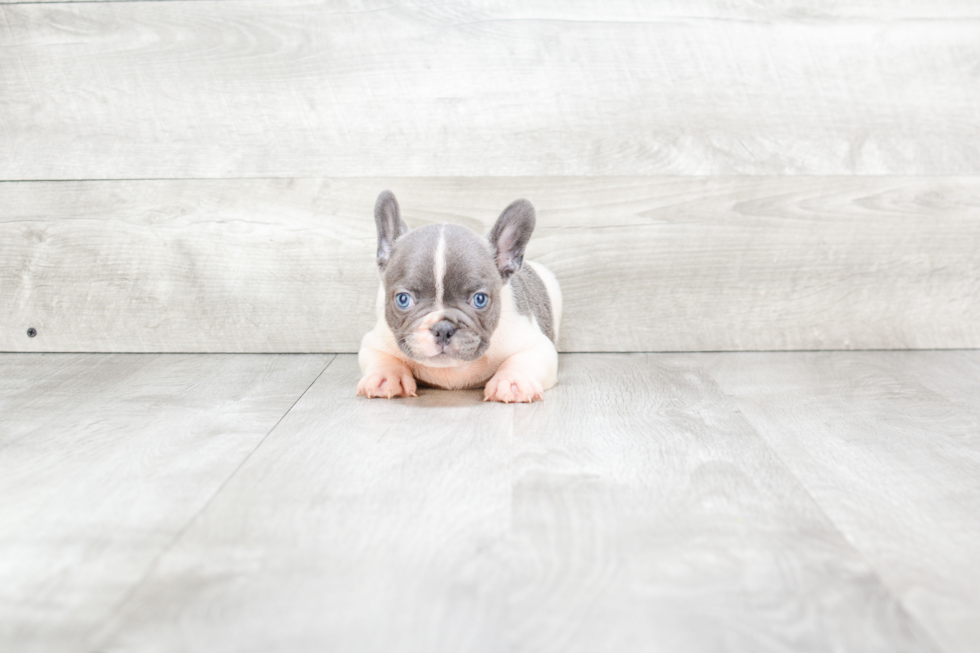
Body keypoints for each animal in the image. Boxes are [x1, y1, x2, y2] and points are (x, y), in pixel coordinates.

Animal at [356, 190, 564, 402]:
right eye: (403, 299)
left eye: (480, 300)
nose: (443, 328)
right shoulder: (375, 342)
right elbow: (384, 358)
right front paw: (385, 377)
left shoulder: (538, 345)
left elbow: (522, 359)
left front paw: (513, 381)